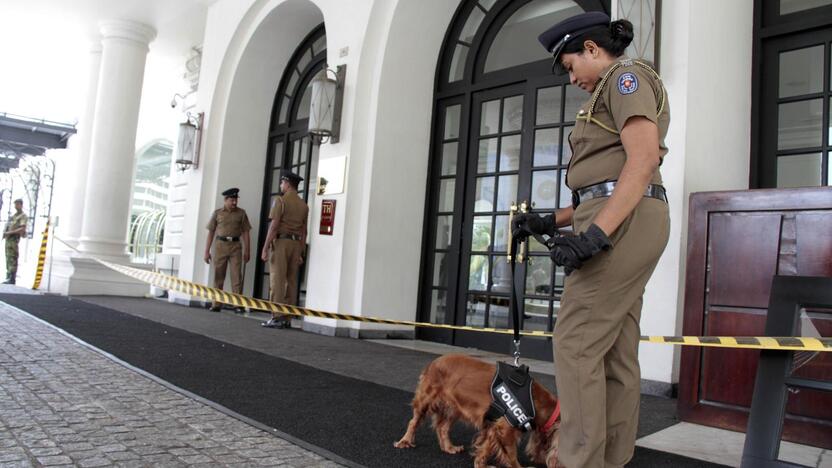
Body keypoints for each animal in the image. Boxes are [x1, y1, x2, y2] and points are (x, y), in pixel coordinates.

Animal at [394, 354, 564, 468]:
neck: (538, 403)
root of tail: (434, 362)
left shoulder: (493, 427)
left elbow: (485, 448)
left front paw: (481, 464)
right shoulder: (505, 429)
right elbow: (511, 455)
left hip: (453, 408)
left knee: (443, 428)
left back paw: (449, 447)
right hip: (426, 400)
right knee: (414, 422)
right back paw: (405, 441)